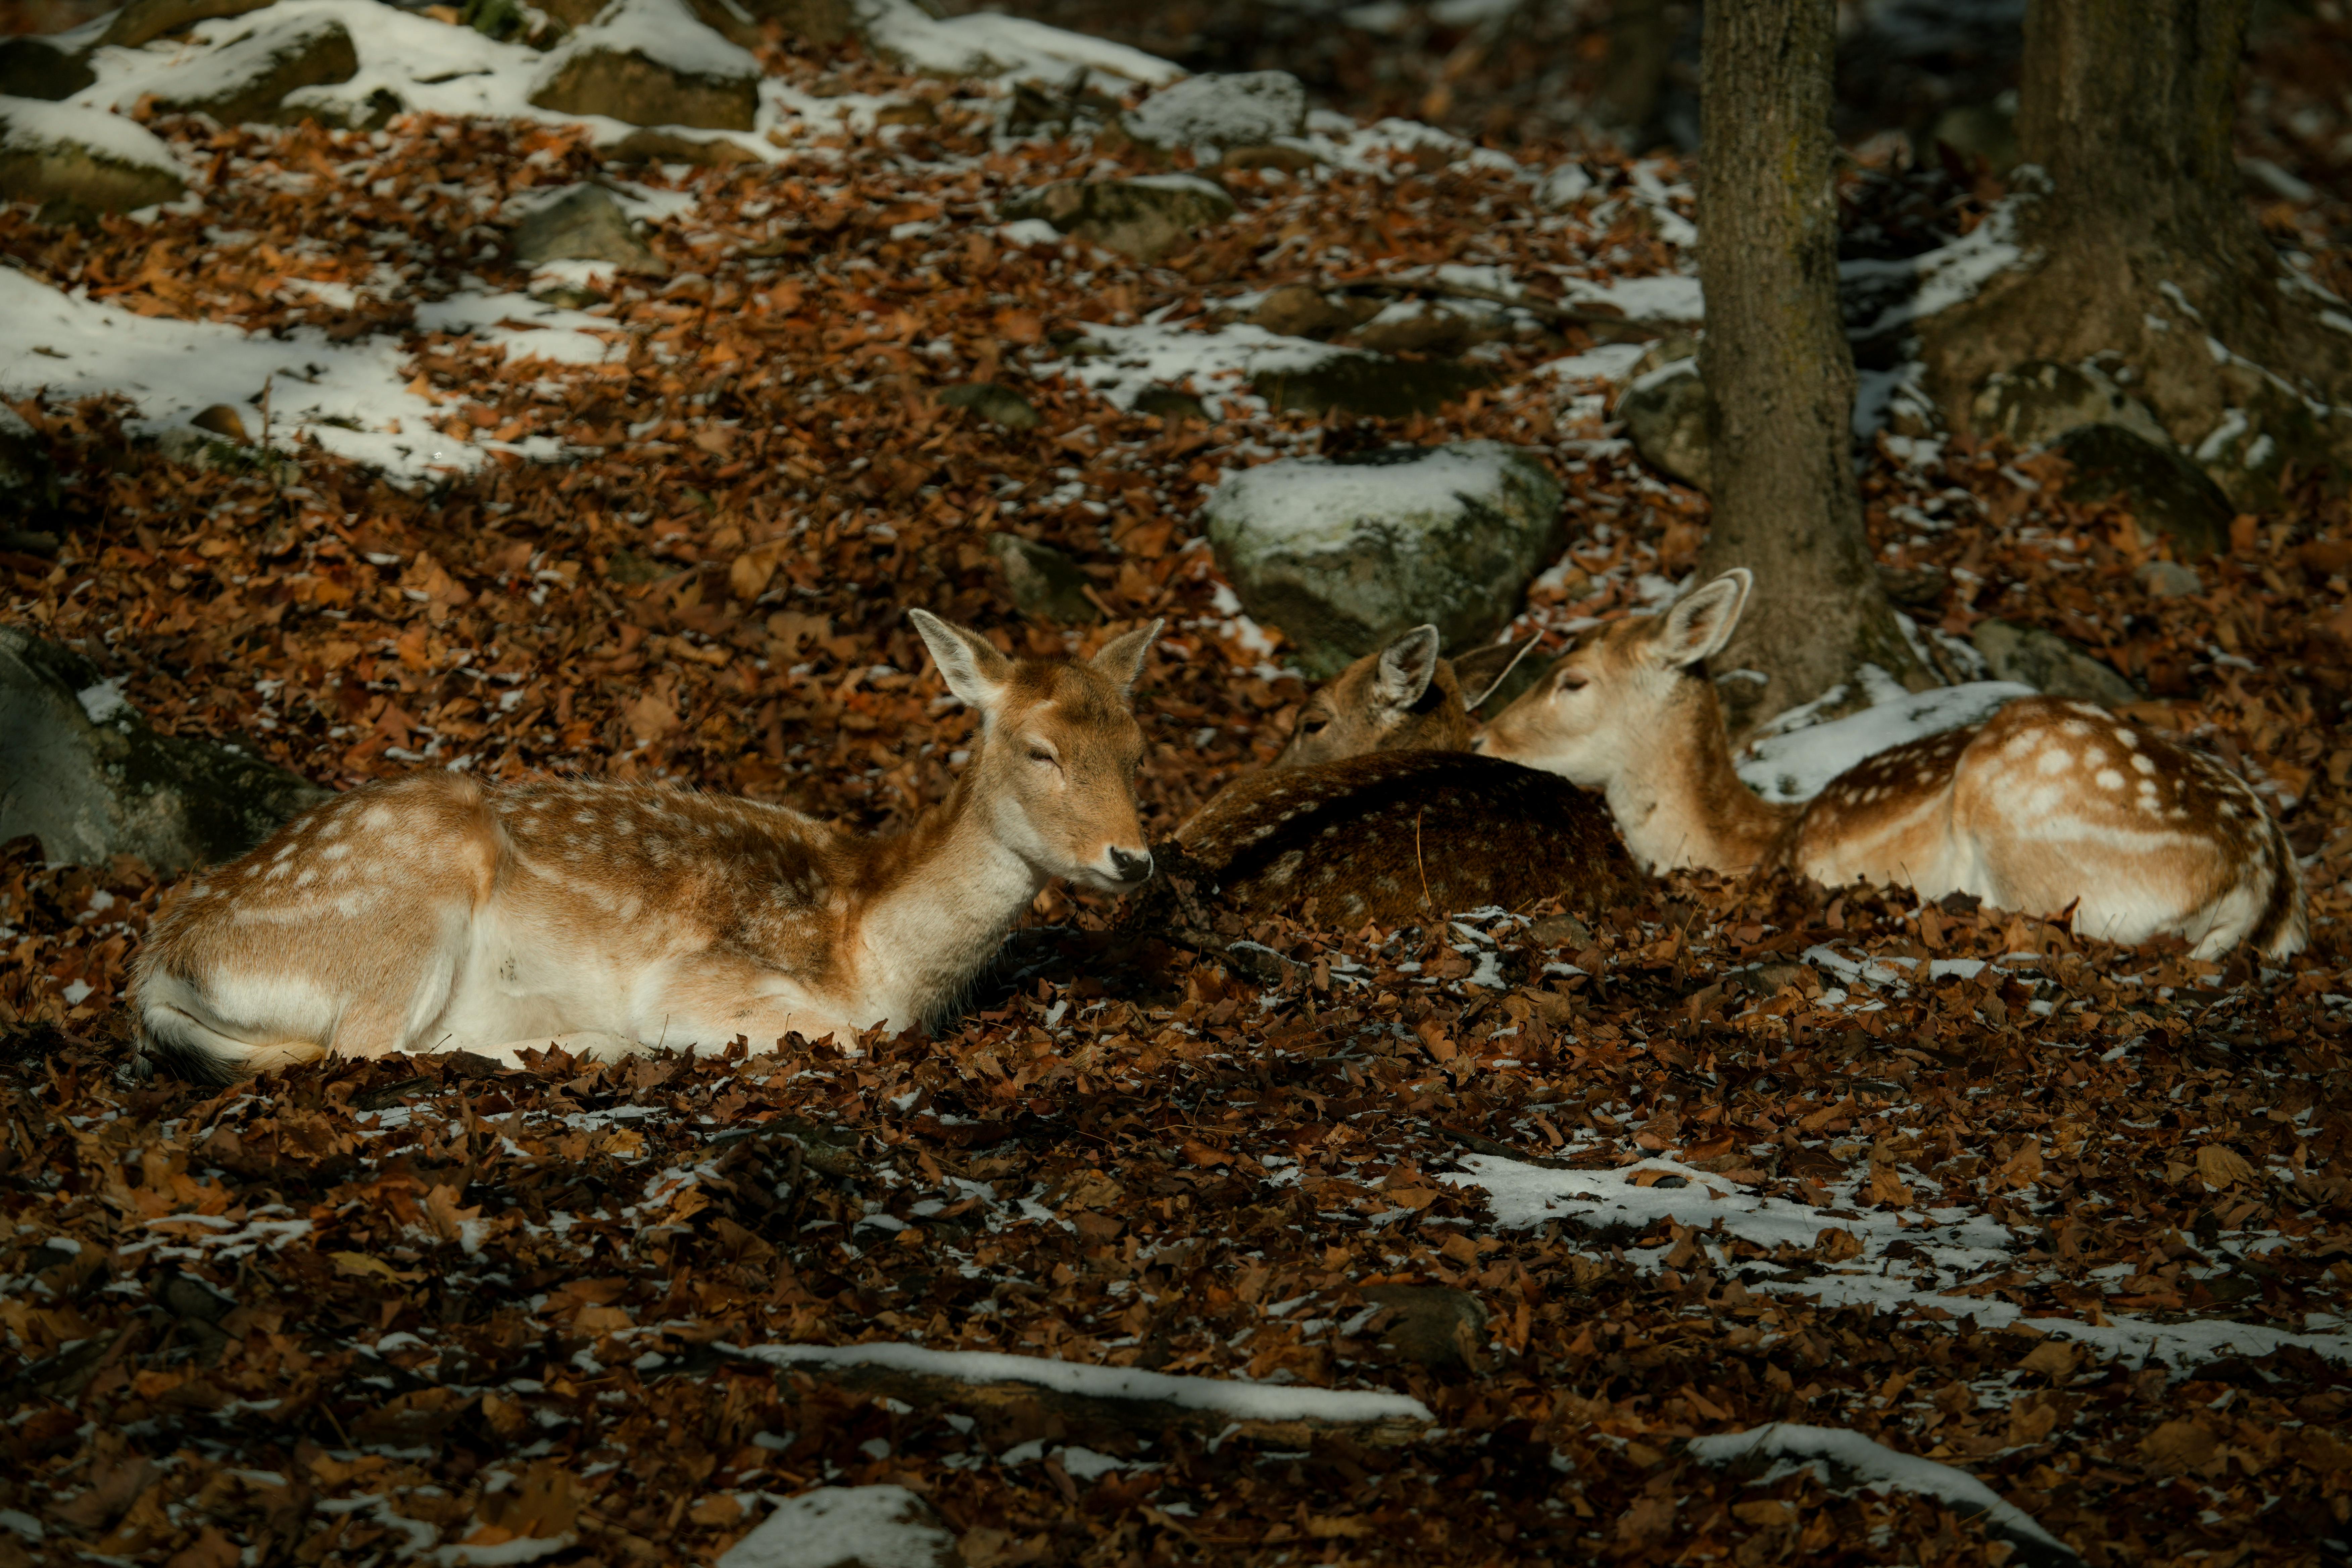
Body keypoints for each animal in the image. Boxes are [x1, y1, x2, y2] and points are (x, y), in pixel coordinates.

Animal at [129, 612, 1165, 1082]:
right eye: (1039, 750)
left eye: (1138, 746)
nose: (1134, 859)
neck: (872, 940)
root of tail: (157, 963)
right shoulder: (701, 975)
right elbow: (839, 1031)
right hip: (405, 895)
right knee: (368, 1050)